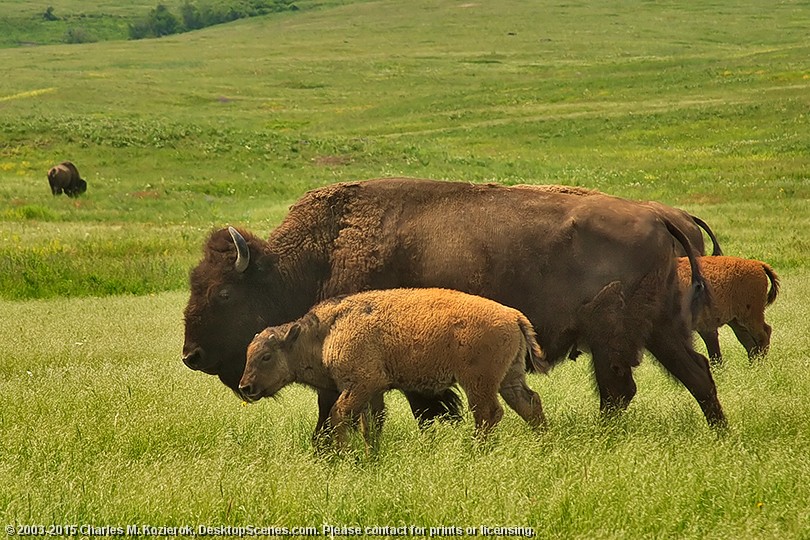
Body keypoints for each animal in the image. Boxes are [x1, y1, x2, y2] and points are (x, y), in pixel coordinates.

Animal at [183, 179, 724, 432]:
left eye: (224, 293)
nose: (191, 355)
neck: (322, 251)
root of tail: (659, 217)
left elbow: (408, 407)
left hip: (615, 335)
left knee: (620, 388)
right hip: (661, 329)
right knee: (694, 373)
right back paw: (718, 433)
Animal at [237, 288, 548, 450]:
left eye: (266, 356)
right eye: (249, 354)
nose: (245, 387)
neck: (326, 332)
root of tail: (513, 315)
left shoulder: (361, 385)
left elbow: (339, 415)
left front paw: (342, 454)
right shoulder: (374, 391)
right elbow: (371, 425)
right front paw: (371, 455)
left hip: (477, 383)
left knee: (488, 414)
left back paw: (474, 450)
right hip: (509, 378)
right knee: (528, 402)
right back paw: (544, 442)